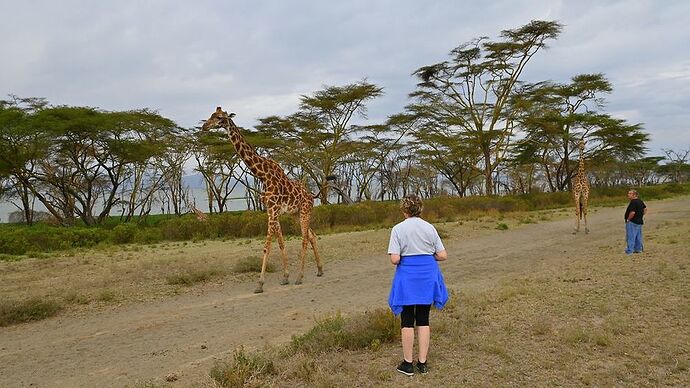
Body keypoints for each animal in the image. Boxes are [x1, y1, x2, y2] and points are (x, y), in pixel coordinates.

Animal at [199, 106, 322, 292]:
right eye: (211, 115)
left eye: (220, 118)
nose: (204, 126)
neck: (263, 175)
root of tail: (311, 195)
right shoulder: (271, 211)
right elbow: (280, 243)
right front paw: (285, 277)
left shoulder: (273, 210)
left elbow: (267, 247)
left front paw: (260, 283)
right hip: (296, 213)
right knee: (312, 235)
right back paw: (320, 270)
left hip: (305, 211)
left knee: (304, 239)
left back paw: (300, 277)